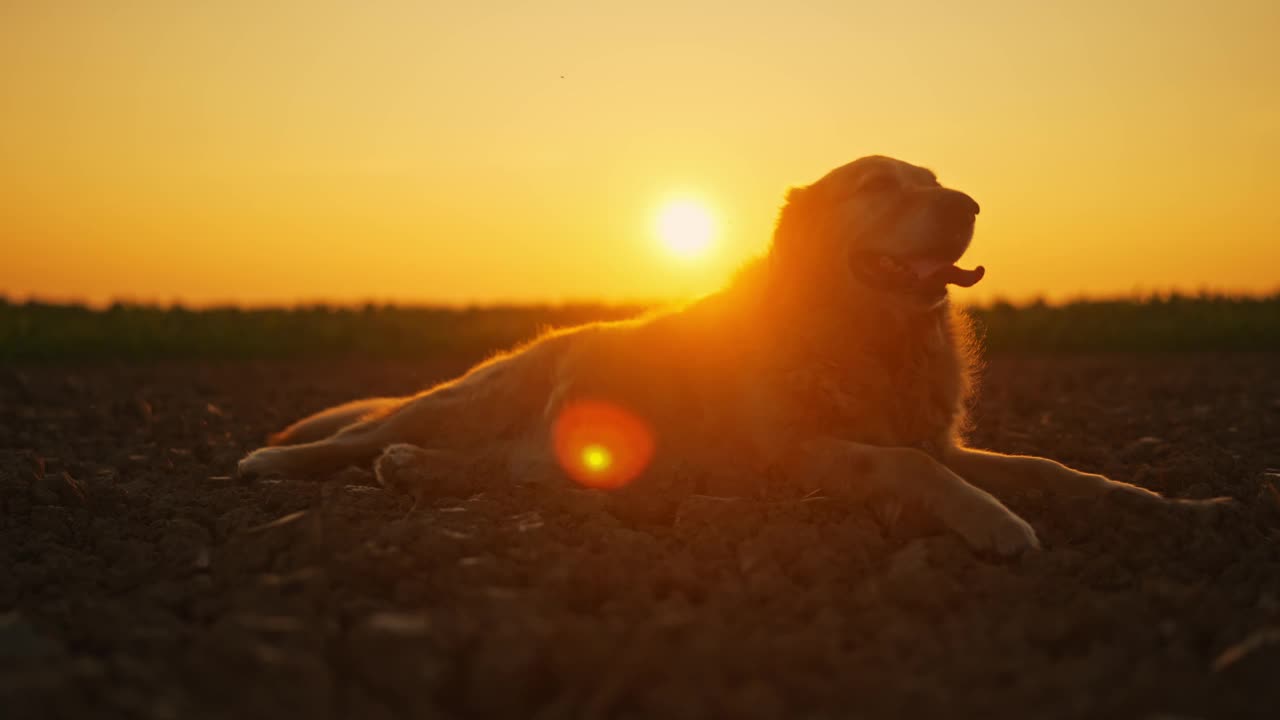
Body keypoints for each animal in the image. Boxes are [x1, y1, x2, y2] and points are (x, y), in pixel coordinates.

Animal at [238, 154, 1187, 550]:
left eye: (936, 181)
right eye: (880, 185)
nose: (968, 203)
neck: (871, 337)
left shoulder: (935, 437)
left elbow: (1047, 467)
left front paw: (1154, 503)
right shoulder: (800, 451)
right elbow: (911, 470)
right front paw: (999, 527)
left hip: (533, 452)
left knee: (478, 467)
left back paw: (413, 472)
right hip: (469, 396)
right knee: (352, 436)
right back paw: (269, 464)